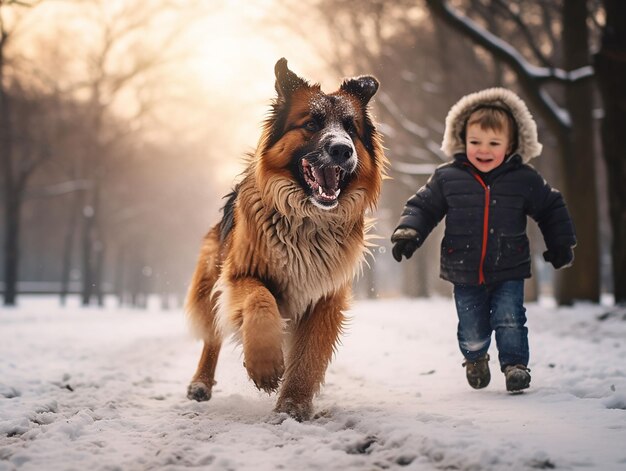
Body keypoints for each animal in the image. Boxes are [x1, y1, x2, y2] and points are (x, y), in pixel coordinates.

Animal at [183, 57, 382, 422]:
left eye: (351, 128)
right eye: (312, 123)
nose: (342, 150)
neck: (308, 221)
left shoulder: (326, 296)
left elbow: (311, 353)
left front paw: (294, 403)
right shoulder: (239, 275)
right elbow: (261, 301)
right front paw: (264, 366)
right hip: (210, 282)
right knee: (212, 337)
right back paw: (201, 383)